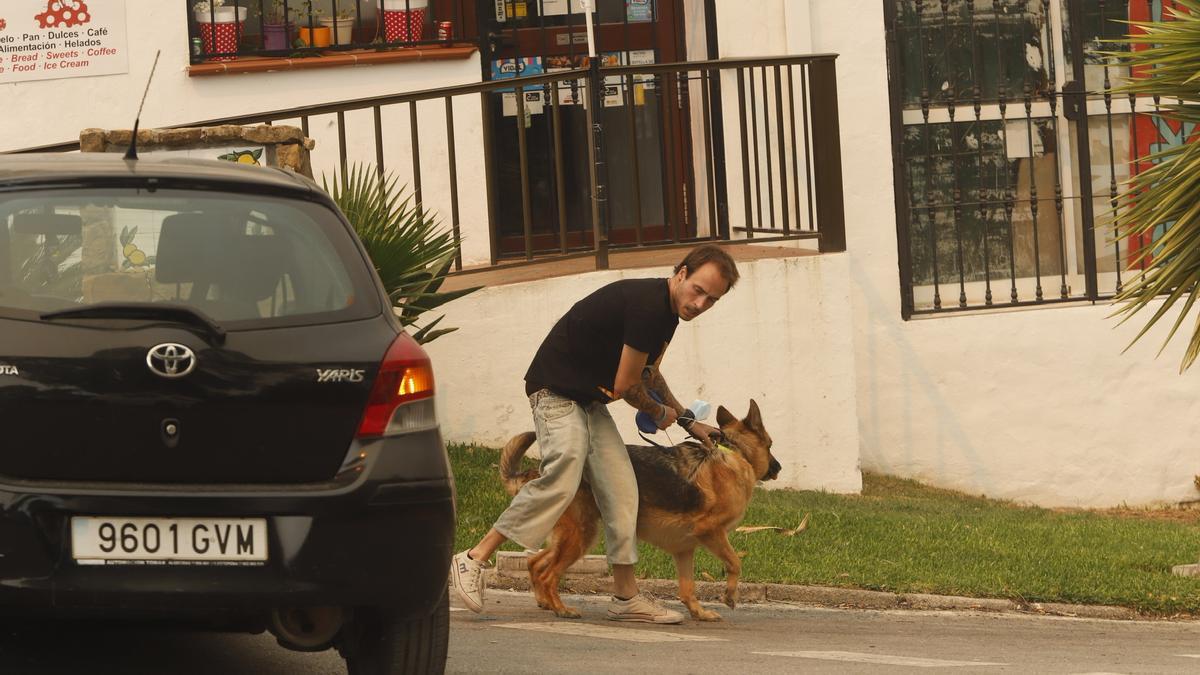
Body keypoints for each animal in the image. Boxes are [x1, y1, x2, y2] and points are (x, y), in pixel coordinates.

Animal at [494, 398, 777, 619]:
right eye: (770, 445)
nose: (778, 468)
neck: (735, 453)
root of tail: (537, 472)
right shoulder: (712, 532)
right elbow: (735, 563)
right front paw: (729, 595)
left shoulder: (684, 549)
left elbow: (687, 588)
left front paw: (698, 612)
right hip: (581, 536)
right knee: (548, 574)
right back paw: (561, 609)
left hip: (570, 536)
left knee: (535, 561)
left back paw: (544, 602)